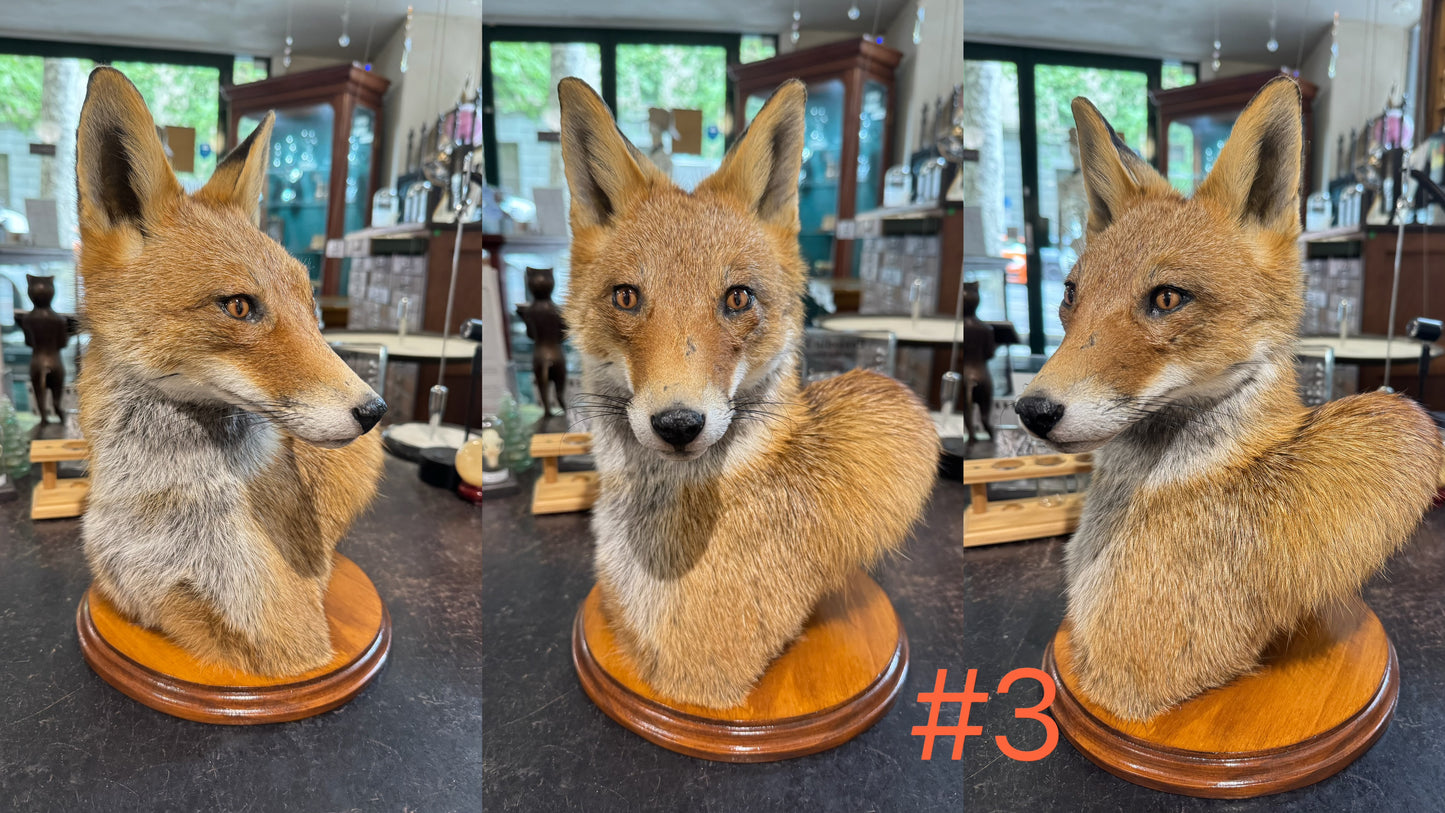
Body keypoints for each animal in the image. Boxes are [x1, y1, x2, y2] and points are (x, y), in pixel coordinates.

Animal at [74, 67, 386, 677]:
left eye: (309, 303)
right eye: (239, 306)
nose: (375, 411)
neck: (156, 506)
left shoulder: (289, 631)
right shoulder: (127, 585)